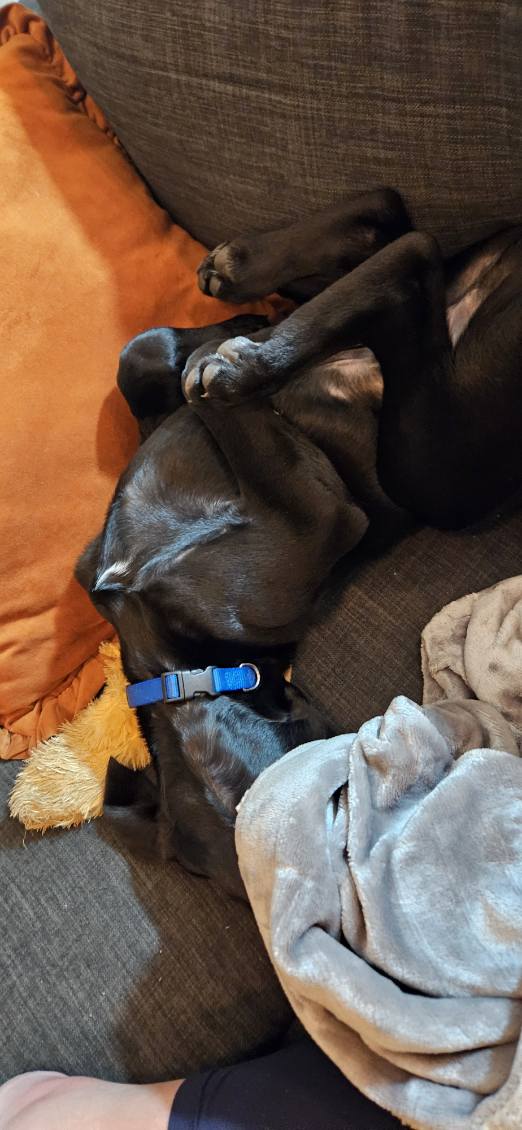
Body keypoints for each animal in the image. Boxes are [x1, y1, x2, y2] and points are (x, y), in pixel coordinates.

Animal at [76, 188, 522, 896]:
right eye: (332, 808)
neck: (177, 659)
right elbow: (156, 365)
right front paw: (238, 332)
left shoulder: (322, 516)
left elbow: (148, 358)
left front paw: (233, 337)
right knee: (399, 237)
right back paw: (248, 287)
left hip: (430, 465)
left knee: (400, 247)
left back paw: (243, 332)